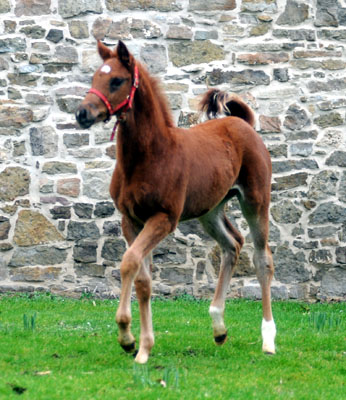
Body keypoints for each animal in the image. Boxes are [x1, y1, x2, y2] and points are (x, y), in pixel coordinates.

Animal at [75, 41, 276, 366]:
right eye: (95, 77)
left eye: (116, 80)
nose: (82, 113)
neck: (149, 156)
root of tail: (241, 123)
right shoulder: (131, 220)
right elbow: (143, 279)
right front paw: (139, 346)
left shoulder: (163, 218)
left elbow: (129, 262)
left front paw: (130, 339)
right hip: (210, 210)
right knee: (232, 244)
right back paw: (218, 327)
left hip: (255, 201)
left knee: (262, 259)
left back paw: (268, 339)